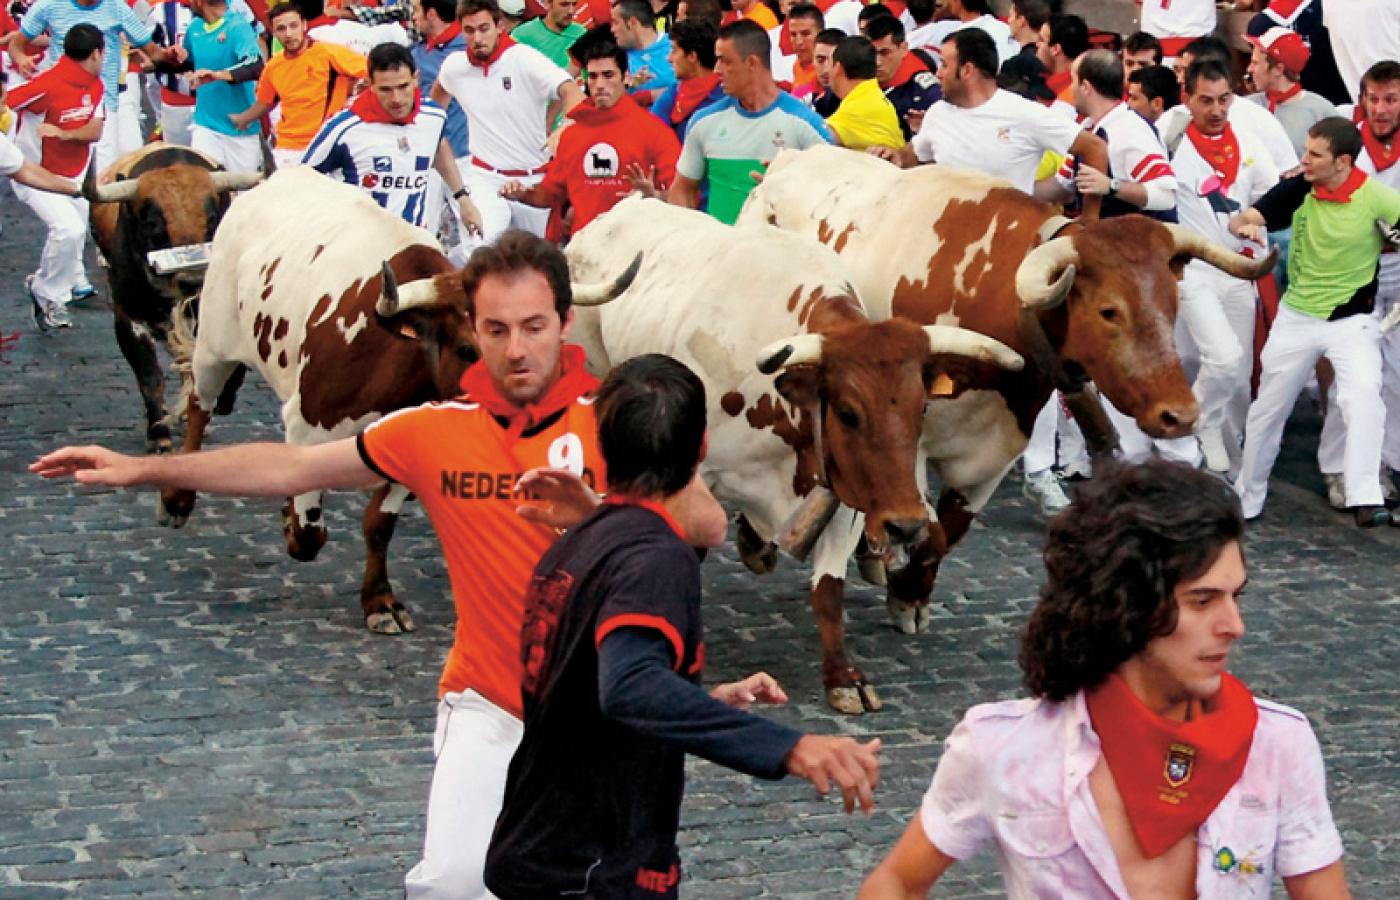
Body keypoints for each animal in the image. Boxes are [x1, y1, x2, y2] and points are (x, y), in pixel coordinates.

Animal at [85, 143, 264, 453]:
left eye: (213, 219)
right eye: (152, 224)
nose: (193, 279)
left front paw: (219, 401)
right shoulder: (129, 316)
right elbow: (149, 376)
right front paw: (158, 433)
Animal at [156, 167, 639, 634]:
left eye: (543, 334)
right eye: (467, 348)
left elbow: (379, 524)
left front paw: (380, 601)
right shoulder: (305, 424)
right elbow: (309, 528)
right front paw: (294, 529)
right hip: (216, 340)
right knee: (200, 403)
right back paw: (177, 499)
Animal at [564, 196, 1026, 713]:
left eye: (922, 407)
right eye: (847, 412)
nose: (907, 526)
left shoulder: (846, 491)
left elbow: (829, 589)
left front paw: (843, 676)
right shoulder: (699, 474)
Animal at [739, 145, 1275, 709]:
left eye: (1173, 307)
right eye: (1110, 311)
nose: (1180, 414)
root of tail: (793, 158)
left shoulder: (996, 449)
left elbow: (946, 531)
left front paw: (909, 593)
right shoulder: (906, 443)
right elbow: (918, 516)